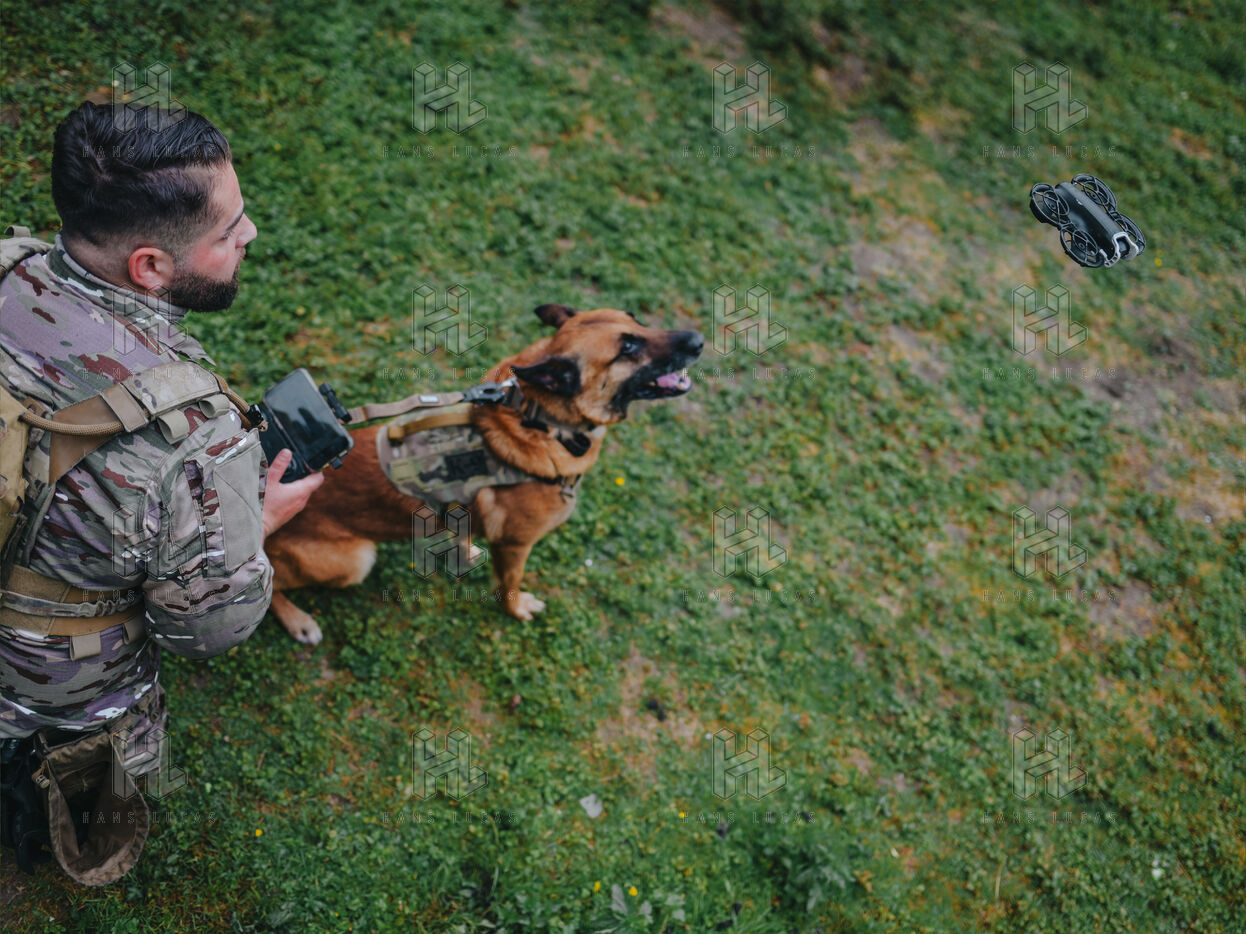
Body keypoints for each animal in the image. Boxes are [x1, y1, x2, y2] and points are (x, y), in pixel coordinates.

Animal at [263, 303, 704, 644]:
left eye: (637, 320)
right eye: (627, 347)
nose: (699, 340)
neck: (542, 420)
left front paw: (465, 549)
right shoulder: (516, 544)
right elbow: (509, 584)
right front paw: (517, 608)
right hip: (355, 560)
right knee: (274, 586)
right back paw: (298, 621)